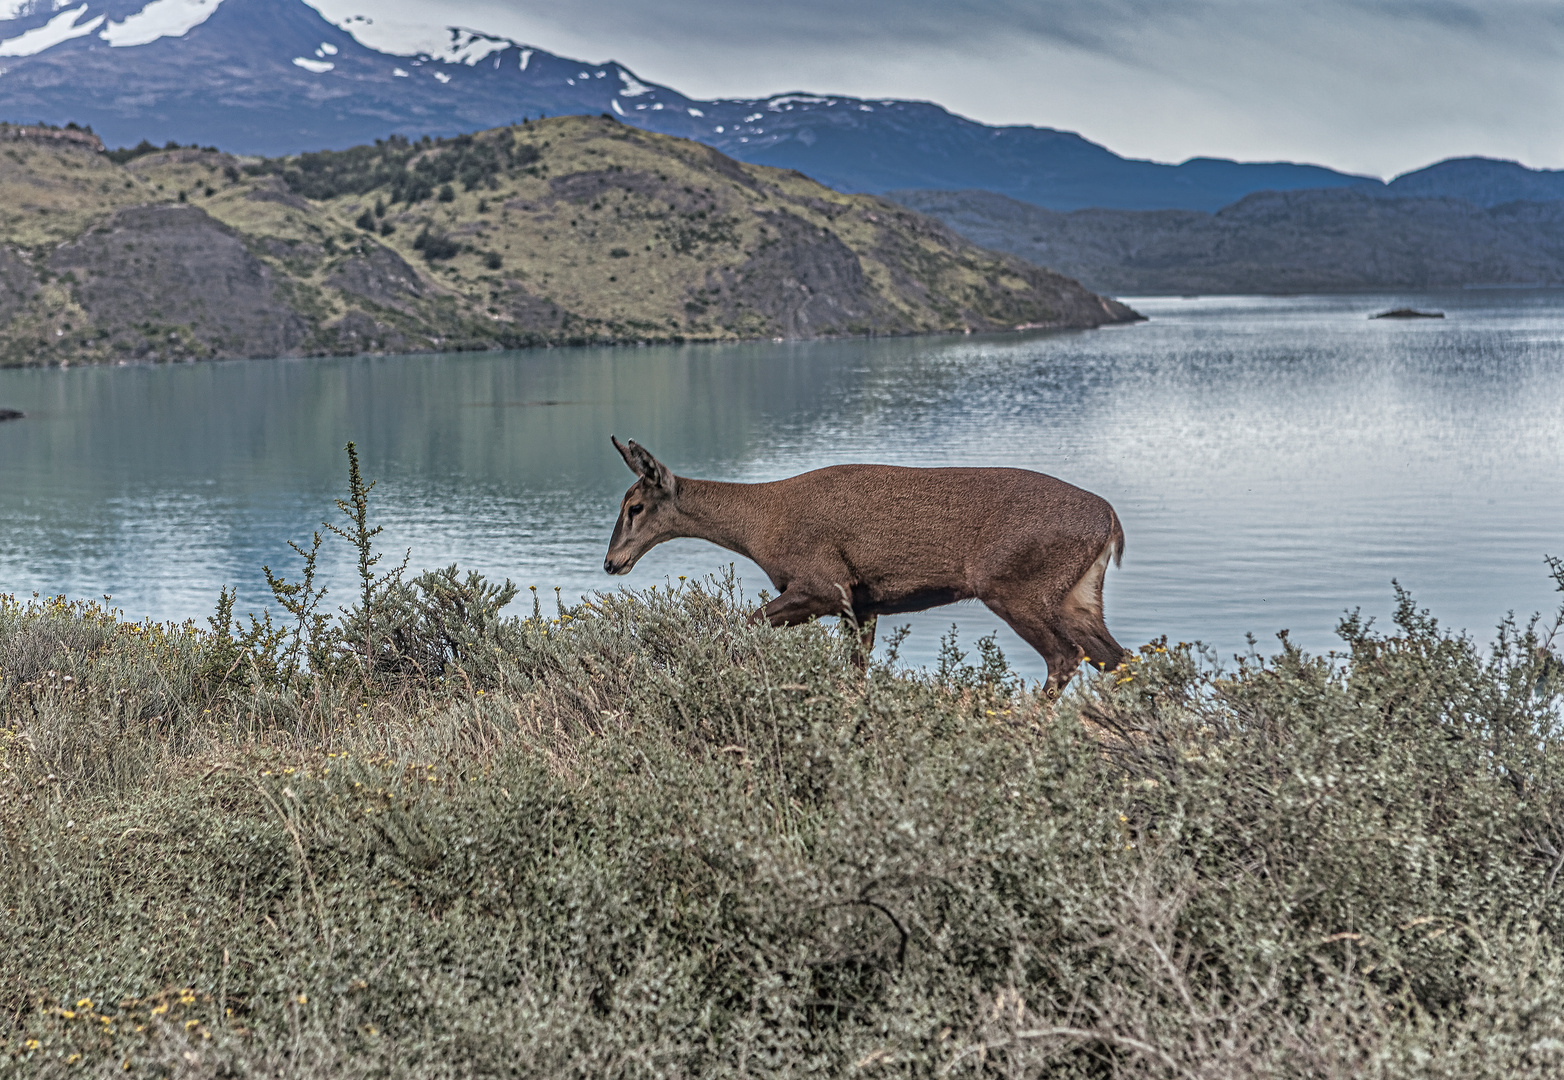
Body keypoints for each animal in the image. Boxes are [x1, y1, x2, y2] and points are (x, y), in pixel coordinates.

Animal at [597, 437, 1126, 693]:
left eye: (635, 506)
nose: (611, 562)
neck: (760, 528)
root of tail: (1112, 523)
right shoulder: (863, 604)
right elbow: (857, 671)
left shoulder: (823, 584)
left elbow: (739, 627)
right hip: (1079, 594)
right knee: (1117, 658)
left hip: (1014, 583)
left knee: (1067, 656)